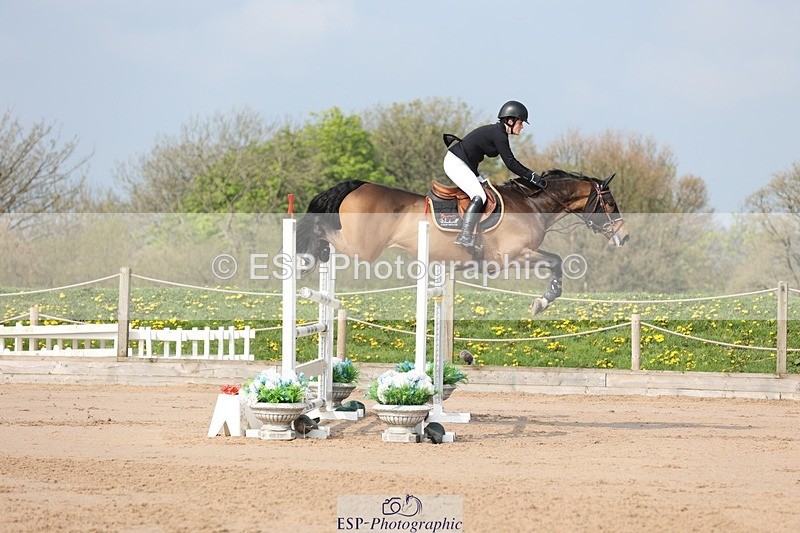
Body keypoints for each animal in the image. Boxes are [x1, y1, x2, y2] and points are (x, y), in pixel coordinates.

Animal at [296, 169, 630, 315]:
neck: (532, 204)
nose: (624, 235)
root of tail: (358, 185)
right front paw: (541, 302)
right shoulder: (514, 256)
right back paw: (307, 256)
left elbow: (556, 263)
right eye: (610, 202)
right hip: (364, 248)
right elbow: (557, 263)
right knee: (319, 228)